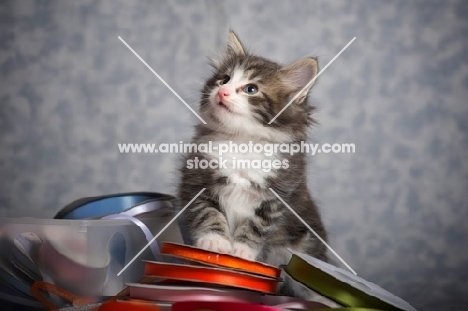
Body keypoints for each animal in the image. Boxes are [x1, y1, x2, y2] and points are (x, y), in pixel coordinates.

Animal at [177, 31, 328, 300]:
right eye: (224, 79)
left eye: (251, 89)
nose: (223, 92)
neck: (241, 141)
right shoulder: (195, 179)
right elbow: (207, 212)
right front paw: (214, 242)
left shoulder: (280, 195)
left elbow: (257, 225)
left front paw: (242, 251)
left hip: (305, 242)